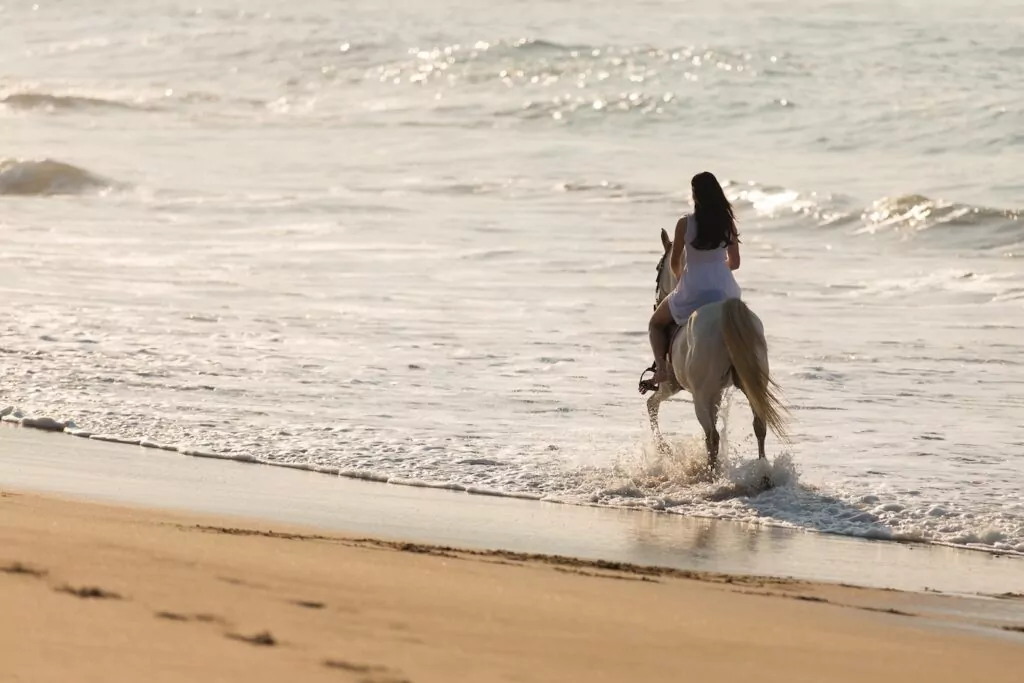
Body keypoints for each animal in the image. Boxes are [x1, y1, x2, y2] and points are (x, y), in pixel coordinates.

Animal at [640, 228, 789, 473]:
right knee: (759, 425)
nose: (656, 302)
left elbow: (651, 405)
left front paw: (664, 449)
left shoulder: (671, 386)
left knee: (712, 436)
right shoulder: (717, 392)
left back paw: (711, 473)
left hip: (699, 395)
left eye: (658, 268)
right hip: (750, 385)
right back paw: (762, 472)